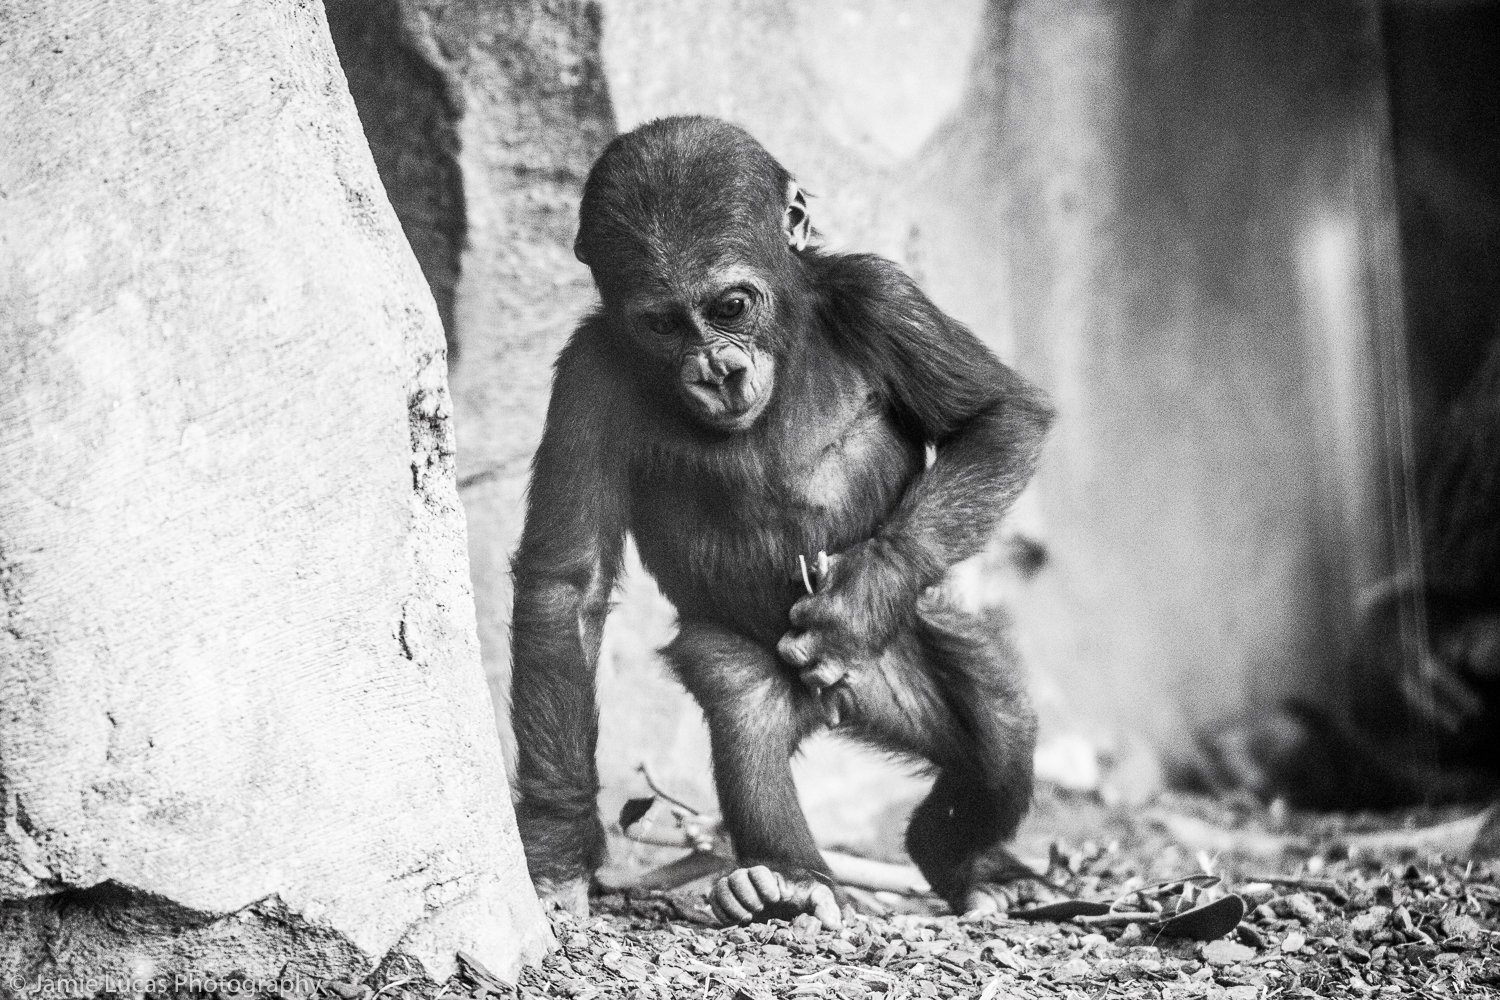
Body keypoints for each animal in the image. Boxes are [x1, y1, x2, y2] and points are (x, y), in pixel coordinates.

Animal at [509, 116, 1053, 927]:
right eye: (663, 324)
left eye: (731, 306)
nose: (718, 370)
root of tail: (837, 708)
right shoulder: (586, 376)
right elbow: (567, 587)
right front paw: (556, 845)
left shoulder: (883, 294)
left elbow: (997, 417)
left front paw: (859, 596)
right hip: (772, 672)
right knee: (747, 706)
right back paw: (788, 879)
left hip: (902, 656)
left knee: (1001, 730)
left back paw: (962, 858)